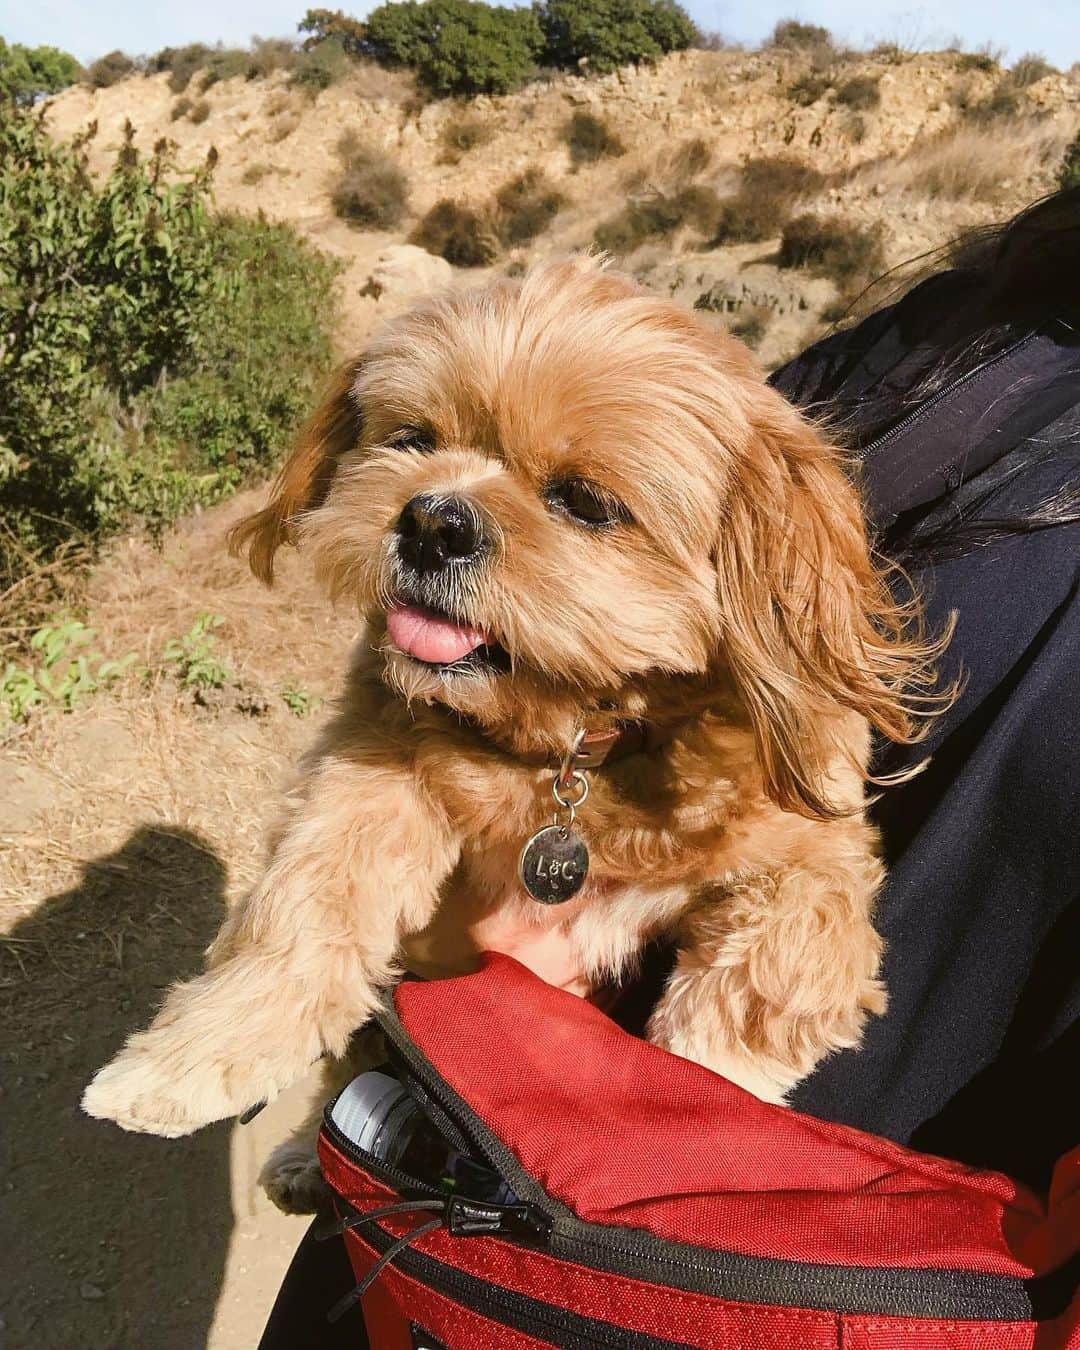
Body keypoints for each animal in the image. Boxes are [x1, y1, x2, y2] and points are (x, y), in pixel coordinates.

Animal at [84, 255, 945, 1215]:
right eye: (413, 438)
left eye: (587, 501)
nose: (434, 520)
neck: (571, 749)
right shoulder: (371, 767)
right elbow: (305, 904)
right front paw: (194, 1055)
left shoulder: (815, 857)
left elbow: (752, 1006)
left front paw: (692, 1126)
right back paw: (310, 1157)